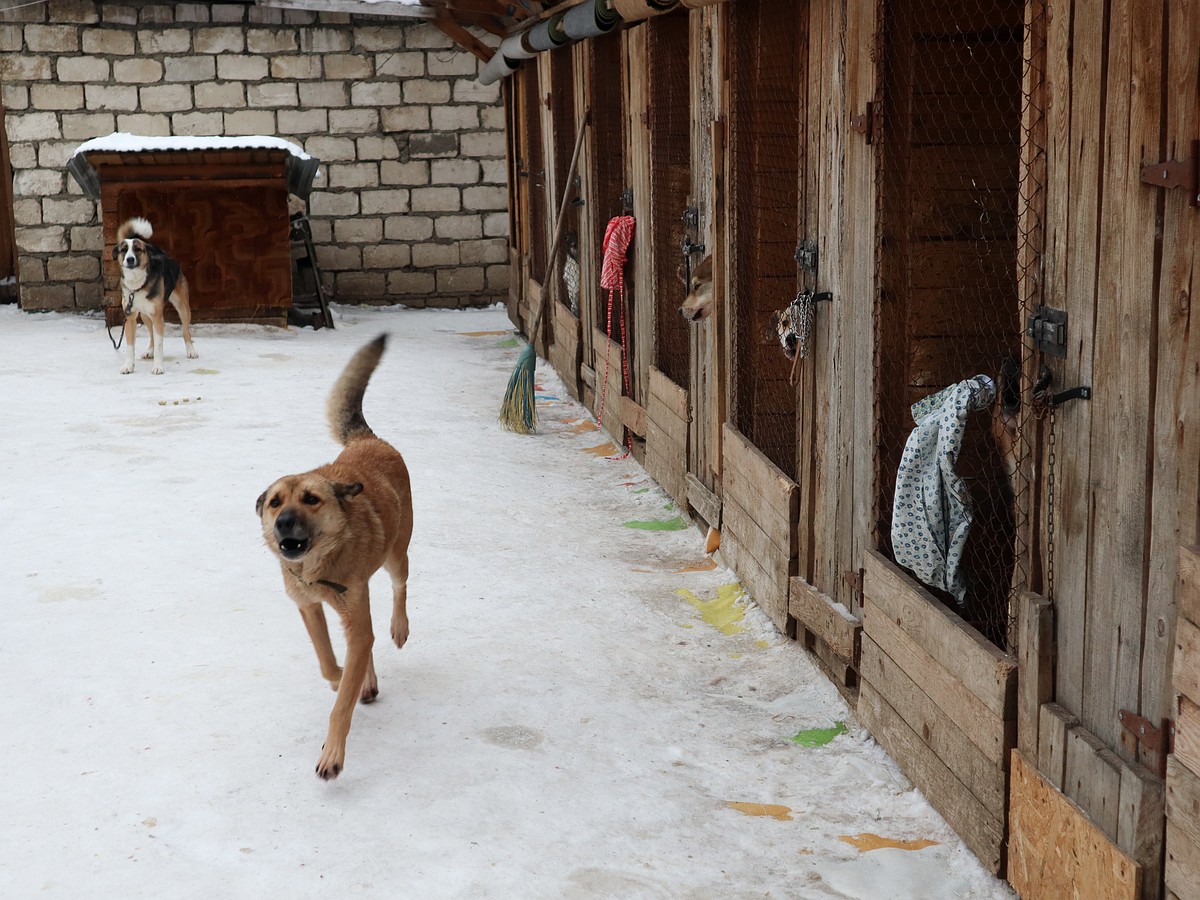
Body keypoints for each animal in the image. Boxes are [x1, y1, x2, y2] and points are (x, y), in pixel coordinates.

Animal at [256, 336, 412, 777]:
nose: (284, 522)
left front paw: (333, 753)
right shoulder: (309, 607)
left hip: (397, 553)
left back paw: (398, 628)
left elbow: (342, 702)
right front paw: (343, 676)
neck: (320, 567)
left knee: (400, 587)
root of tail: (367, 441)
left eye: (311, 499)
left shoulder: (353, 618)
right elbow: (328, 663)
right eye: (275, 503)